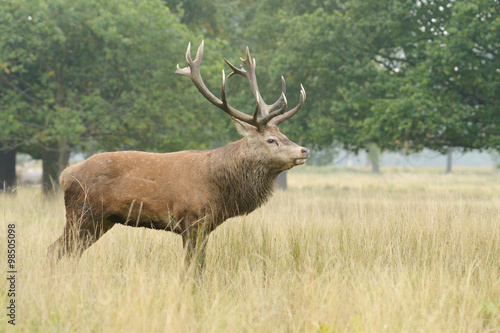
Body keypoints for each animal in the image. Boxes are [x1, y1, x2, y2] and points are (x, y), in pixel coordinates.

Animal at [48, 40, 310, 268]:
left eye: (284, 134)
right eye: (271, 140)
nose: (304, 150)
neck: (221, 190)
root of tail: (64, 175)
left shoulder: (207, 225)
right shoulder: (192, 219)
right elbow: (192, 267)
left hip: (102, 221)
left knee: (67, 251)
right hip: (82, 213)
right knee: (56, 250)